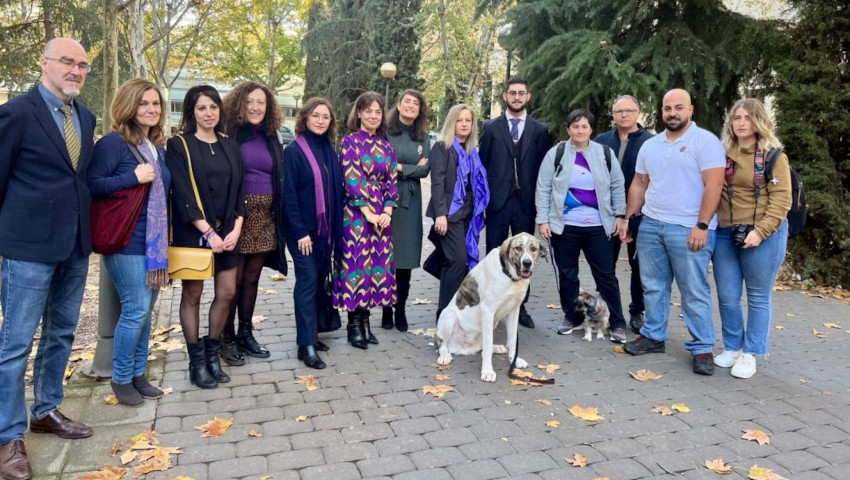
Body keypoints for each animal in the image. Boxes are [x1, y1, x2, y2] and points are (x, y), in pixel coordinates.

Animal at [434, 232, 548, 382]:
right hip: (449, 316)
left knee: (482, 345)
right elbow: (487, 347)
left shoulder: (514, 311)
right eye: (518, 248)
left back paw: (498, 348)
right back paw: (444, 355)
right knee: (442, 344)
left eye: (533, 249)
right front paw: (487, 371)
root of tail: (462, 349)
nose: (527, 263)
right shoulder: (488, 311)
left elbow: (512, 340)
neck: (509, 276)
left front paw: (514, 360)